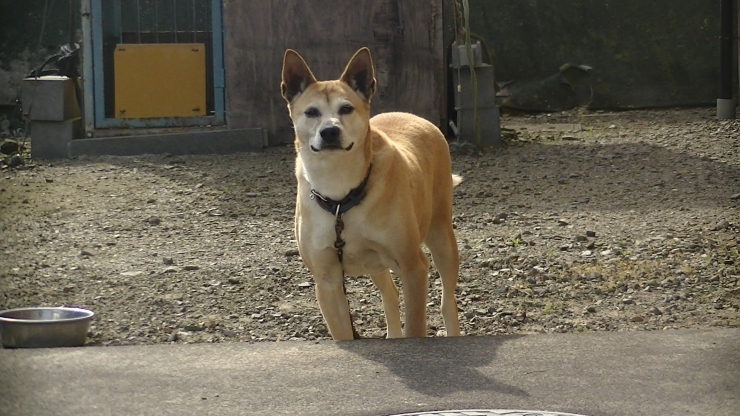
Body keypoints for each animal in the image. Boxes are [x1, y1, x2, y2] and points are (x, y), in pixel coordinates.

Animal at [280, 47, 460, 340]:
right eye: (311, 112)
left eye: (346, 108)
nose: (330, 131)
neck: (341, 196)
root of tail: (411, 115)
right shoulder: (327, 280)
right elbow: (342, 332)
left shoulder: (413, 266)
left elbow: (415, 325)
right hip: (375, 263)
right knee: (390, 293)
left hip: (441, 235)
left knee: (447, 300)